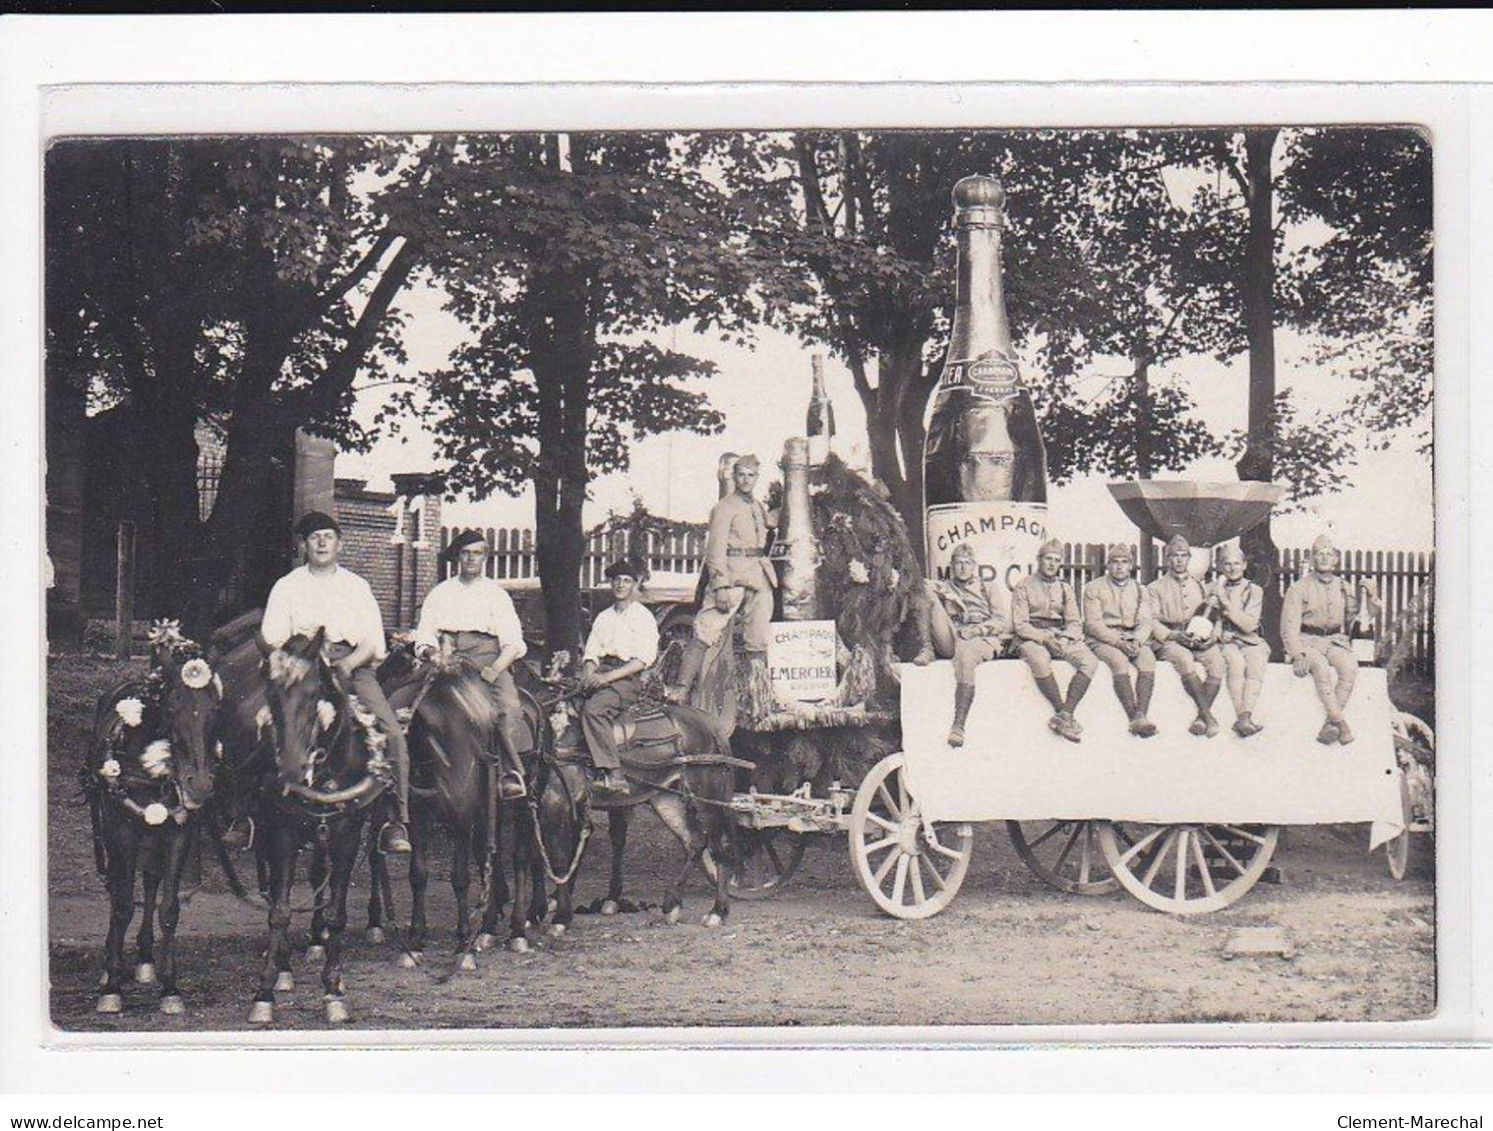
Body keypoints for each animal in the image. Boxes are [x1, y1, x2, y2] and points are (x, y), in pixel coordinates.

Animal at [85, 620, 220, 1020]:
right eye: (173, 703)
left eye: (214, 706)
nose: (199, 784)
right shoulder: (120, 830)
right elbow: (122, 904)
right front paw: (111, 987)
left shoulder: (179, 830)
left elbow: (169, 908)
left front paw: (170, 987)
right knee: (119, 885)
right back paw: (109, 966)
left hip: (154, 829)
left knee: (150, 879)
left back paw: (145, 958)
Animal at [217, 629, 394, 1026]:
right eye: (270, 696)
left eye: (315, 695)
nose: (290, 771)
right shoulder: (282, 833)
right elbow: (280, 911)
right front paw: (264, 993)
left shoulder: (346, 835)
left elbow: (336, 913)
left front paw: (334, 990)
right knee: (273, 890)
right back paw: (284, 966)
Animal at [534, 659, 746, 937]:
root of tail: (711, 725)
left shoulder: (558, 803)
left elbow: (560, 858)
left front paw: (560, 917)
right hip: (666, 799)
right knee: (695, 842)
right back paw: (672, 905)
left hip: (707, 798)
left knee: (721, 847)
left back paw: (717, 911)